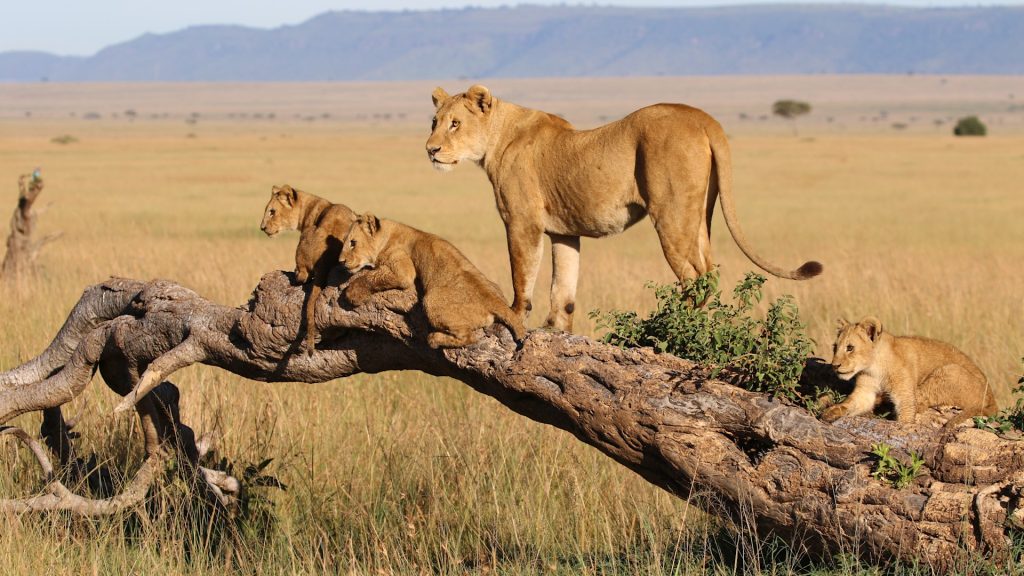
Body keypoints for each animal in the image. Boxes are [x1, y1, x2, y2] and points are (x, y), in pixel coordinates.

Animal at [260, 184, 356, 351]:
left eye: (272, 211)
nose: (262, 228)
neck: (309, 208)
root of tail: (324, 260)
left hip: (306, 235)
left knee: (302, 276)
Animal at [338, 213, 526, 349]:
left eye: (353, 242)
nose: (340, 261)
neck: (387, 235)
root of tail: (495, 300)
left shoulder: (403, 269)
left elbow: (371, 277)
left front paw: (353, 293)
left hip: (431, 300)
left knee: (469, 337)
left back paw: (434, 339)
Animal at [426, 85, 822, 332]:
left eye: (455, 123)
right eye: (434, 122)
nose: (430, 150)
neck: (496, 138)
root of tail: (701, 117)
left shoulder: (523, 222)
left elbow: (522, 277)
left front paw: (515, 316)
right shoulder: (564, 232)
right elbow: (563, 288)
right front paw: (556, 330)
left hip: (671, 214)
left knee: (694, 276)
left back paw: (676, 328)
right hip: (700, 214)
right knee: (709, 270)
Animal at [821, 317, 998, 424]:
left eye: (850, 348)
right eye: (835, 347)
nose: (834, 366)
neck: (875, 367)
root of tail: (993, 401)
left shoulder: (905, 396)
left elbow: (906, 417)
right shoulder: (865, 392)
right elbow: (850, 402)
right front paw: (831, 411)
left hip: (949, 371)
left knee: (922, 402)